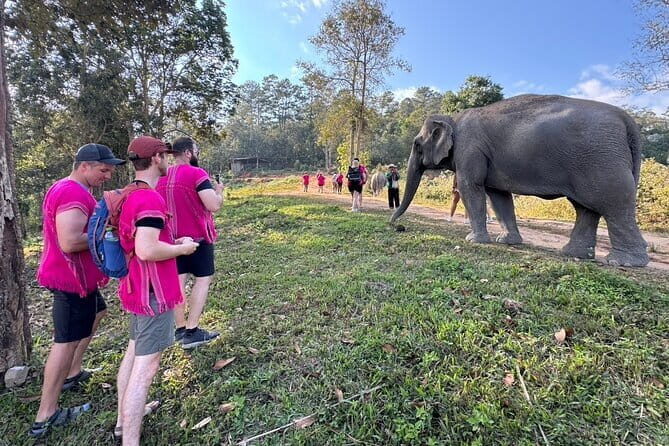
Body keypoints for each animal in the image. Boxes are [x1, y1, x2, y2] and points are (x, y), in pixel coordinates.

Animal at [390, 94, 649, 267]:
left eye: (417, 145)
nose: (393, 224)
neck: (454, 118)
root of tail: (627, 120)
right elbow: (498, 196)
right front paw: (506, 241)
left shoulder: (470, 149)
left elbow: (470, 187)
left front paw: (474, 240)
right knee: (586, 208)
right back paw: (572, 253)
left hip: (601, 162)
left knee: (613, 204)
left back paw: (623, 262)